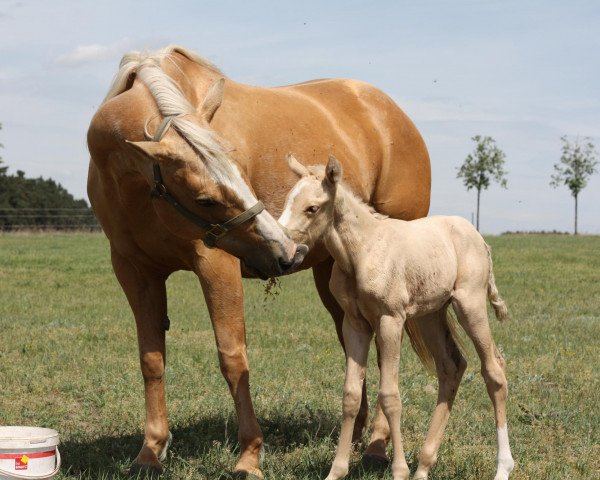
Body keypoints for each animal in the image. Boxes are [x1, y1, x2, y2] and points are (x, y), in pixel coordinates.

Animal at [278, 156, 512, 480]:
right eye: (288, 200)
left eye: (312, 208)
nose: (284, 252)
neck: (361, 252)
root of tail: (479, 237)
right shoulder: (355, 324)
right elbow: (351, 394)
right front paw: (336, 471)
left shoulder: (390, 319)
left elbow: (390, 395)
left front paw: (398, 470)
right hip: (431, 314)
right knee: (452, 367)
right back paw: (423, 466)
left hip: (470, 304)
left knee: (494, 370)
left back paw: (502, 467)